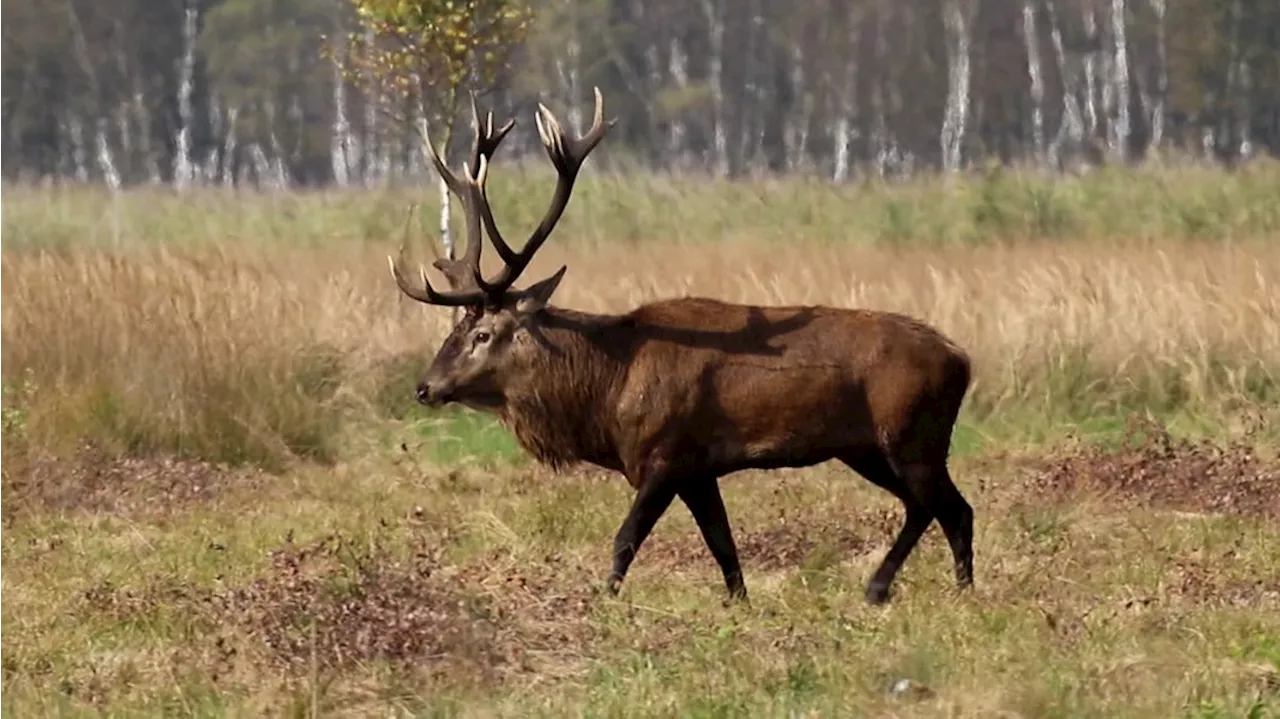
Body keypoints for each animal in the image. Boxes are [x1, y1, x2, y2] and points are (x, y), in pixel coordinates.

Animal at [384, 88, 972, 603]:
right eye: (453, 331)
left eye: (483, 334)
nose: (424, 388)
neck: (607, 394)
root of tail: (962, 360)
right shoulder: (698, 469)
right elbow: (724, 547)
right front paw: (739, 605)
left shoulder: (664, 455)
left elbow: (626, 539)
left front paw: (605, 602)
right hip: (866, 447)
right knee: (953, 510)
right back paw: (963, 591)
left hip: (911, 432)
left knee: (932, 505)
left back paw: (880, 588)